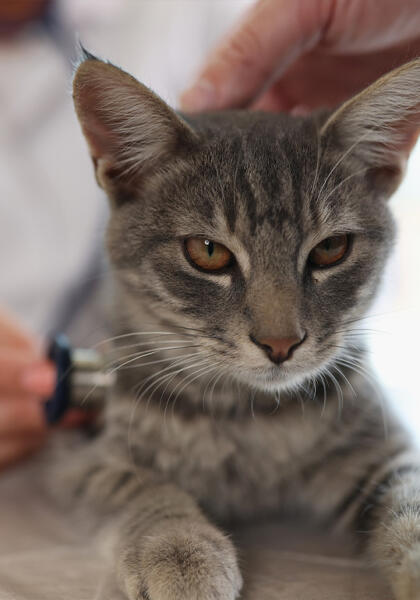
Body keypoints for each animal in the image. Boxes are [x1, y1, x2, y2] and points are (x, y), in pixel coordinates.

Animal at [69, 51, 420, 600]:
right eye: (208, 252)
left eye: (330, 248)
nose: (280, 342)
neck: (248, 414)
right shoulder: (77, 463)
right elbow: (135, 484)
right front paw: (179, 550)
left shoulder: (379, 447)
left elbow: (410, 501)